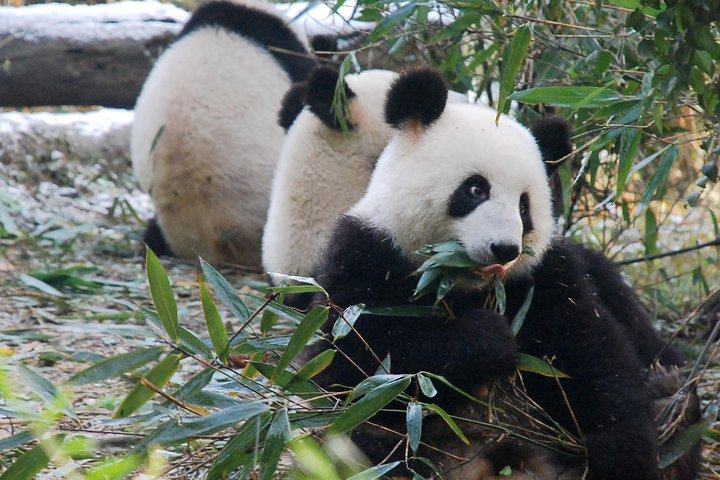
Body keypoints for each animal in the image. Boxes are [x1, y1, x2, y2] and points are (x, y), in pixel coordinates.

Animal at [306, 67, 700, 480]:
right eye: (475, 189)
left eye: (525, 207)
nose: (504, 249)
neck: (464, 285)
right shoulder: (365, 255)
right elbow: (359, 362)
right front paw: (488, 337)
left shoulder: (544, 278)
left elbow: (591, 354)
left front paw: (618, 452)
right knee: (370, 442)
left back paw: (674, 405)